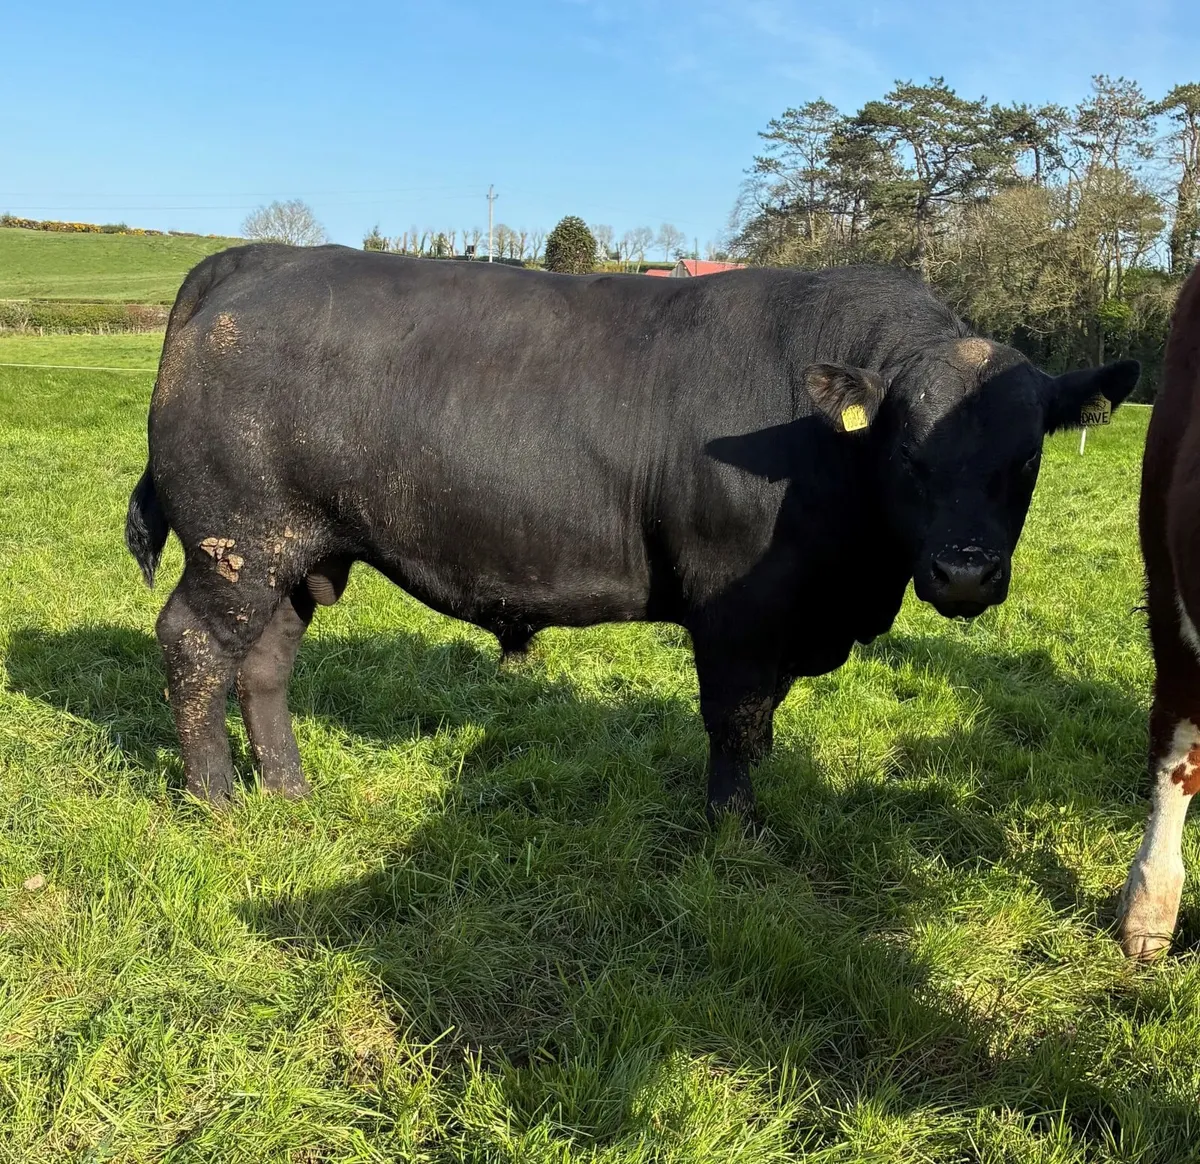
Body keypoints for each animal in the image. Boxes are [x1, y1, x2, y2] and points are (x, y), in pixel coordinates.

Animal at [125, 245, 1139, 819]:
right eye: (909, 455)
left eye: (1026, 460)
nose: (965, 572)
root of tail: (261, 258)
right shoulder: (739, 611)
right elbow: (736, 721)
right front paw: (736, 831)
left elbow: (762, 722)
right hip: (234, 543)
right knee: (193, 648)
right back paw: (217, 804)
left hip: (297, 554)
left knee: (263, 665)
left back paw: (290, 792)